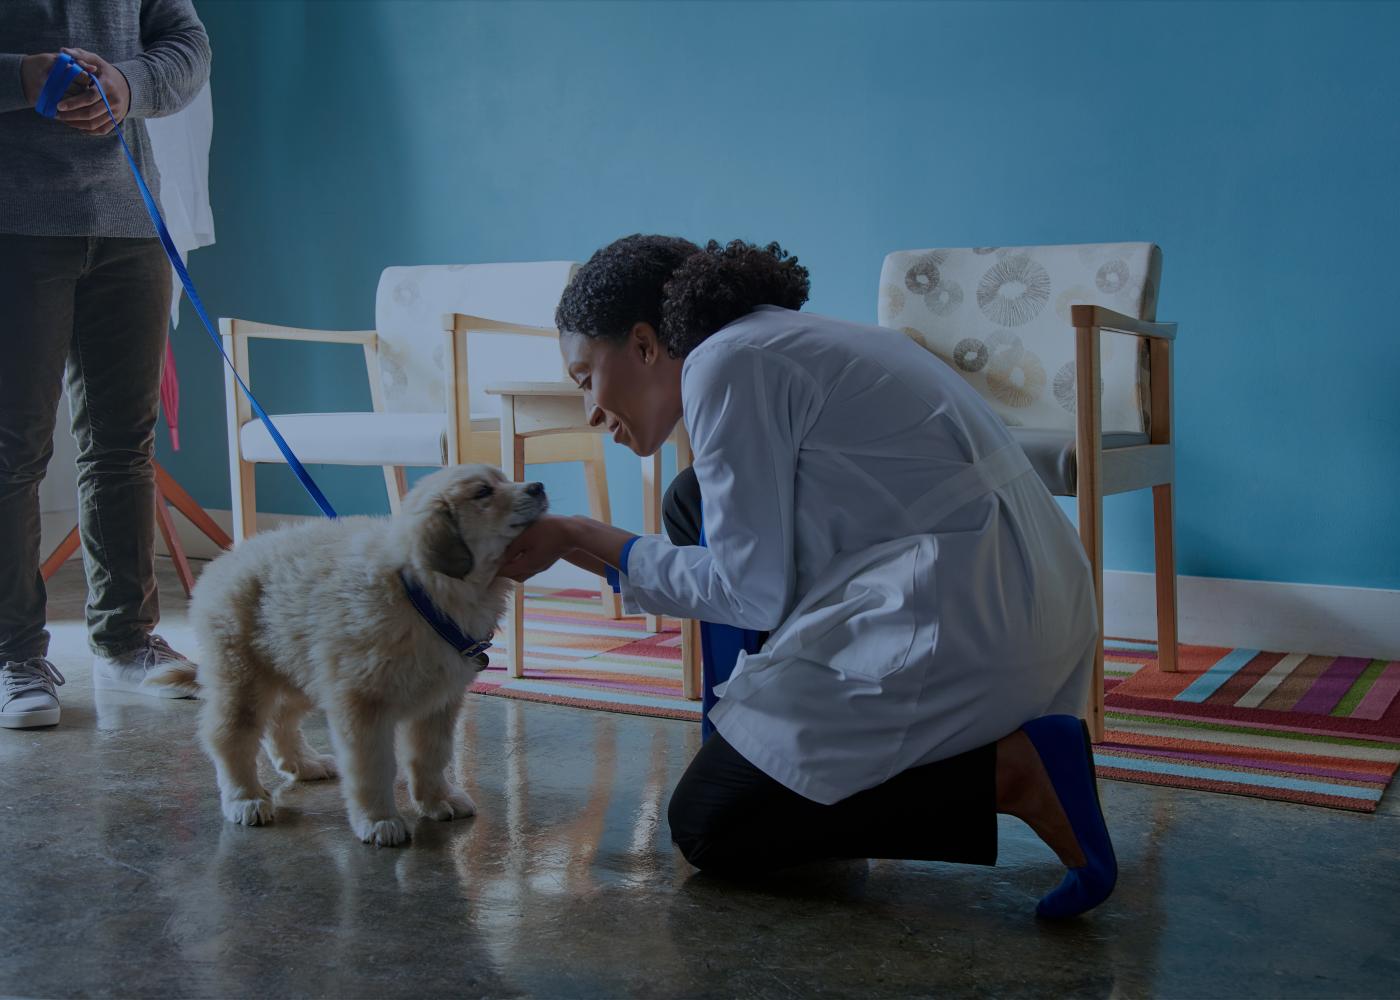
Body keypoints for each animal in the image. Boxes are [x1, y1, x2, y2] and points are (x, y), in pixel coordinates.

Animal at [182, 462, 540, 840]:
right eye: (483, 492)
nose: (538, 487)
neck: (420, 594)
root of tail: (225, 560)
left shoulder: (438, 703)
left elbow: (431, 756)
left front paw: (437, 799)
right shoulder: (362, 704)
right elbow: (373, 767)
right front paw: (379, 820)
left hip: (299, 667)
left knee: (280, 718)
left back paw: (303, 763)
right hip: (242, 676)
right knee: (229, 736)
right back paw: (245, 797)